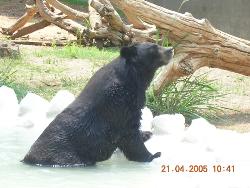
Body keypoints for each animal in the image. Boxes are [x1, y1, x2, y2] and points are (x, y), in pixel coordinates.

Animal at [22, 42, 174, 166]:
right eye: (154, 48)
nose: (170, 49)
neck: (134, 79)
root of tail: (27, 159)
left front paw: (147, 133)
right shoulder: (120, 104)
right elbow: (129, 133)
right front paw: (153, 155)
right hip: (67, 155)